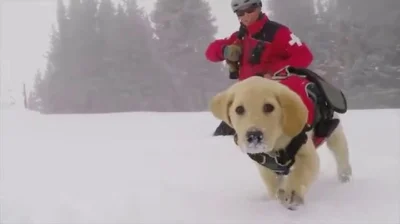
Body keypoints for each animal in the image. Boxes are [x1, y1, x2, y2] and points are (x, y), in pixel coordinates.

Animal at [208, 75, 352, 210]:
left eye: (269, 107)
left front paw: (292, 195)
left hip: (335, 133)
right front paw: (276, 199)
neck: (276, 144)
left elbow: (300, 174)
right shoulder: (266, 165)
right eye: (239, 109)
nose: (254, 136)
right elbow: (273, 185)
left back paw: (345, 177)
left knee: (341, 153)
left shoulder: (306, 153)